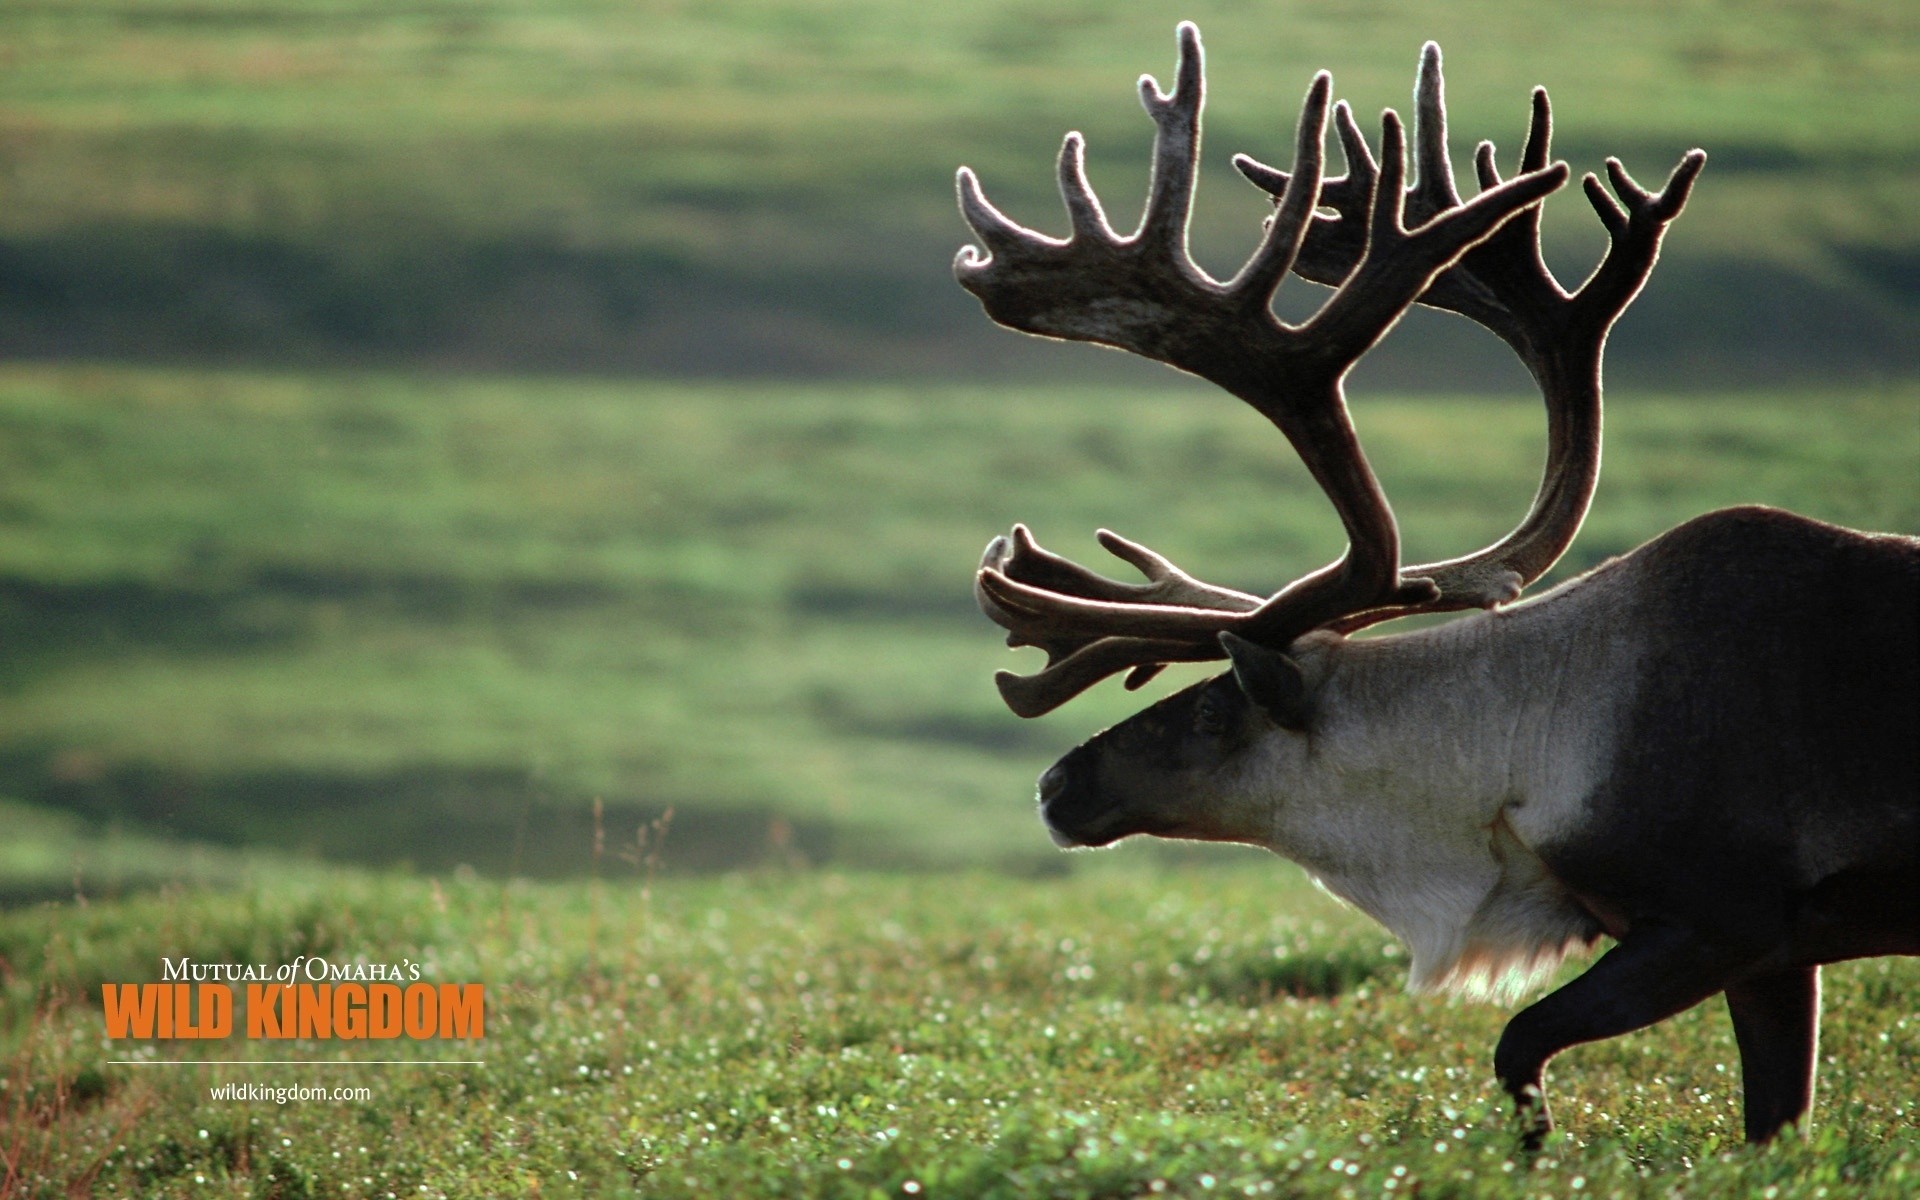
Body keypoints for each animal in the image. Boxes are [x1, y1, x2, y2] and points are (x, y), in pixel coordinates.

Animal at [953, 22, 1919, 1147]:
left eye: (1211, 712)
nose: (1056, 786)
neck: (1529, 750)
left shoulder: (1722, 916)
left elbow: (1518, 1045)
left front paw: (1533, 1151)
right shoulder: (1776, 953)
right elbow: (1773, 1120)